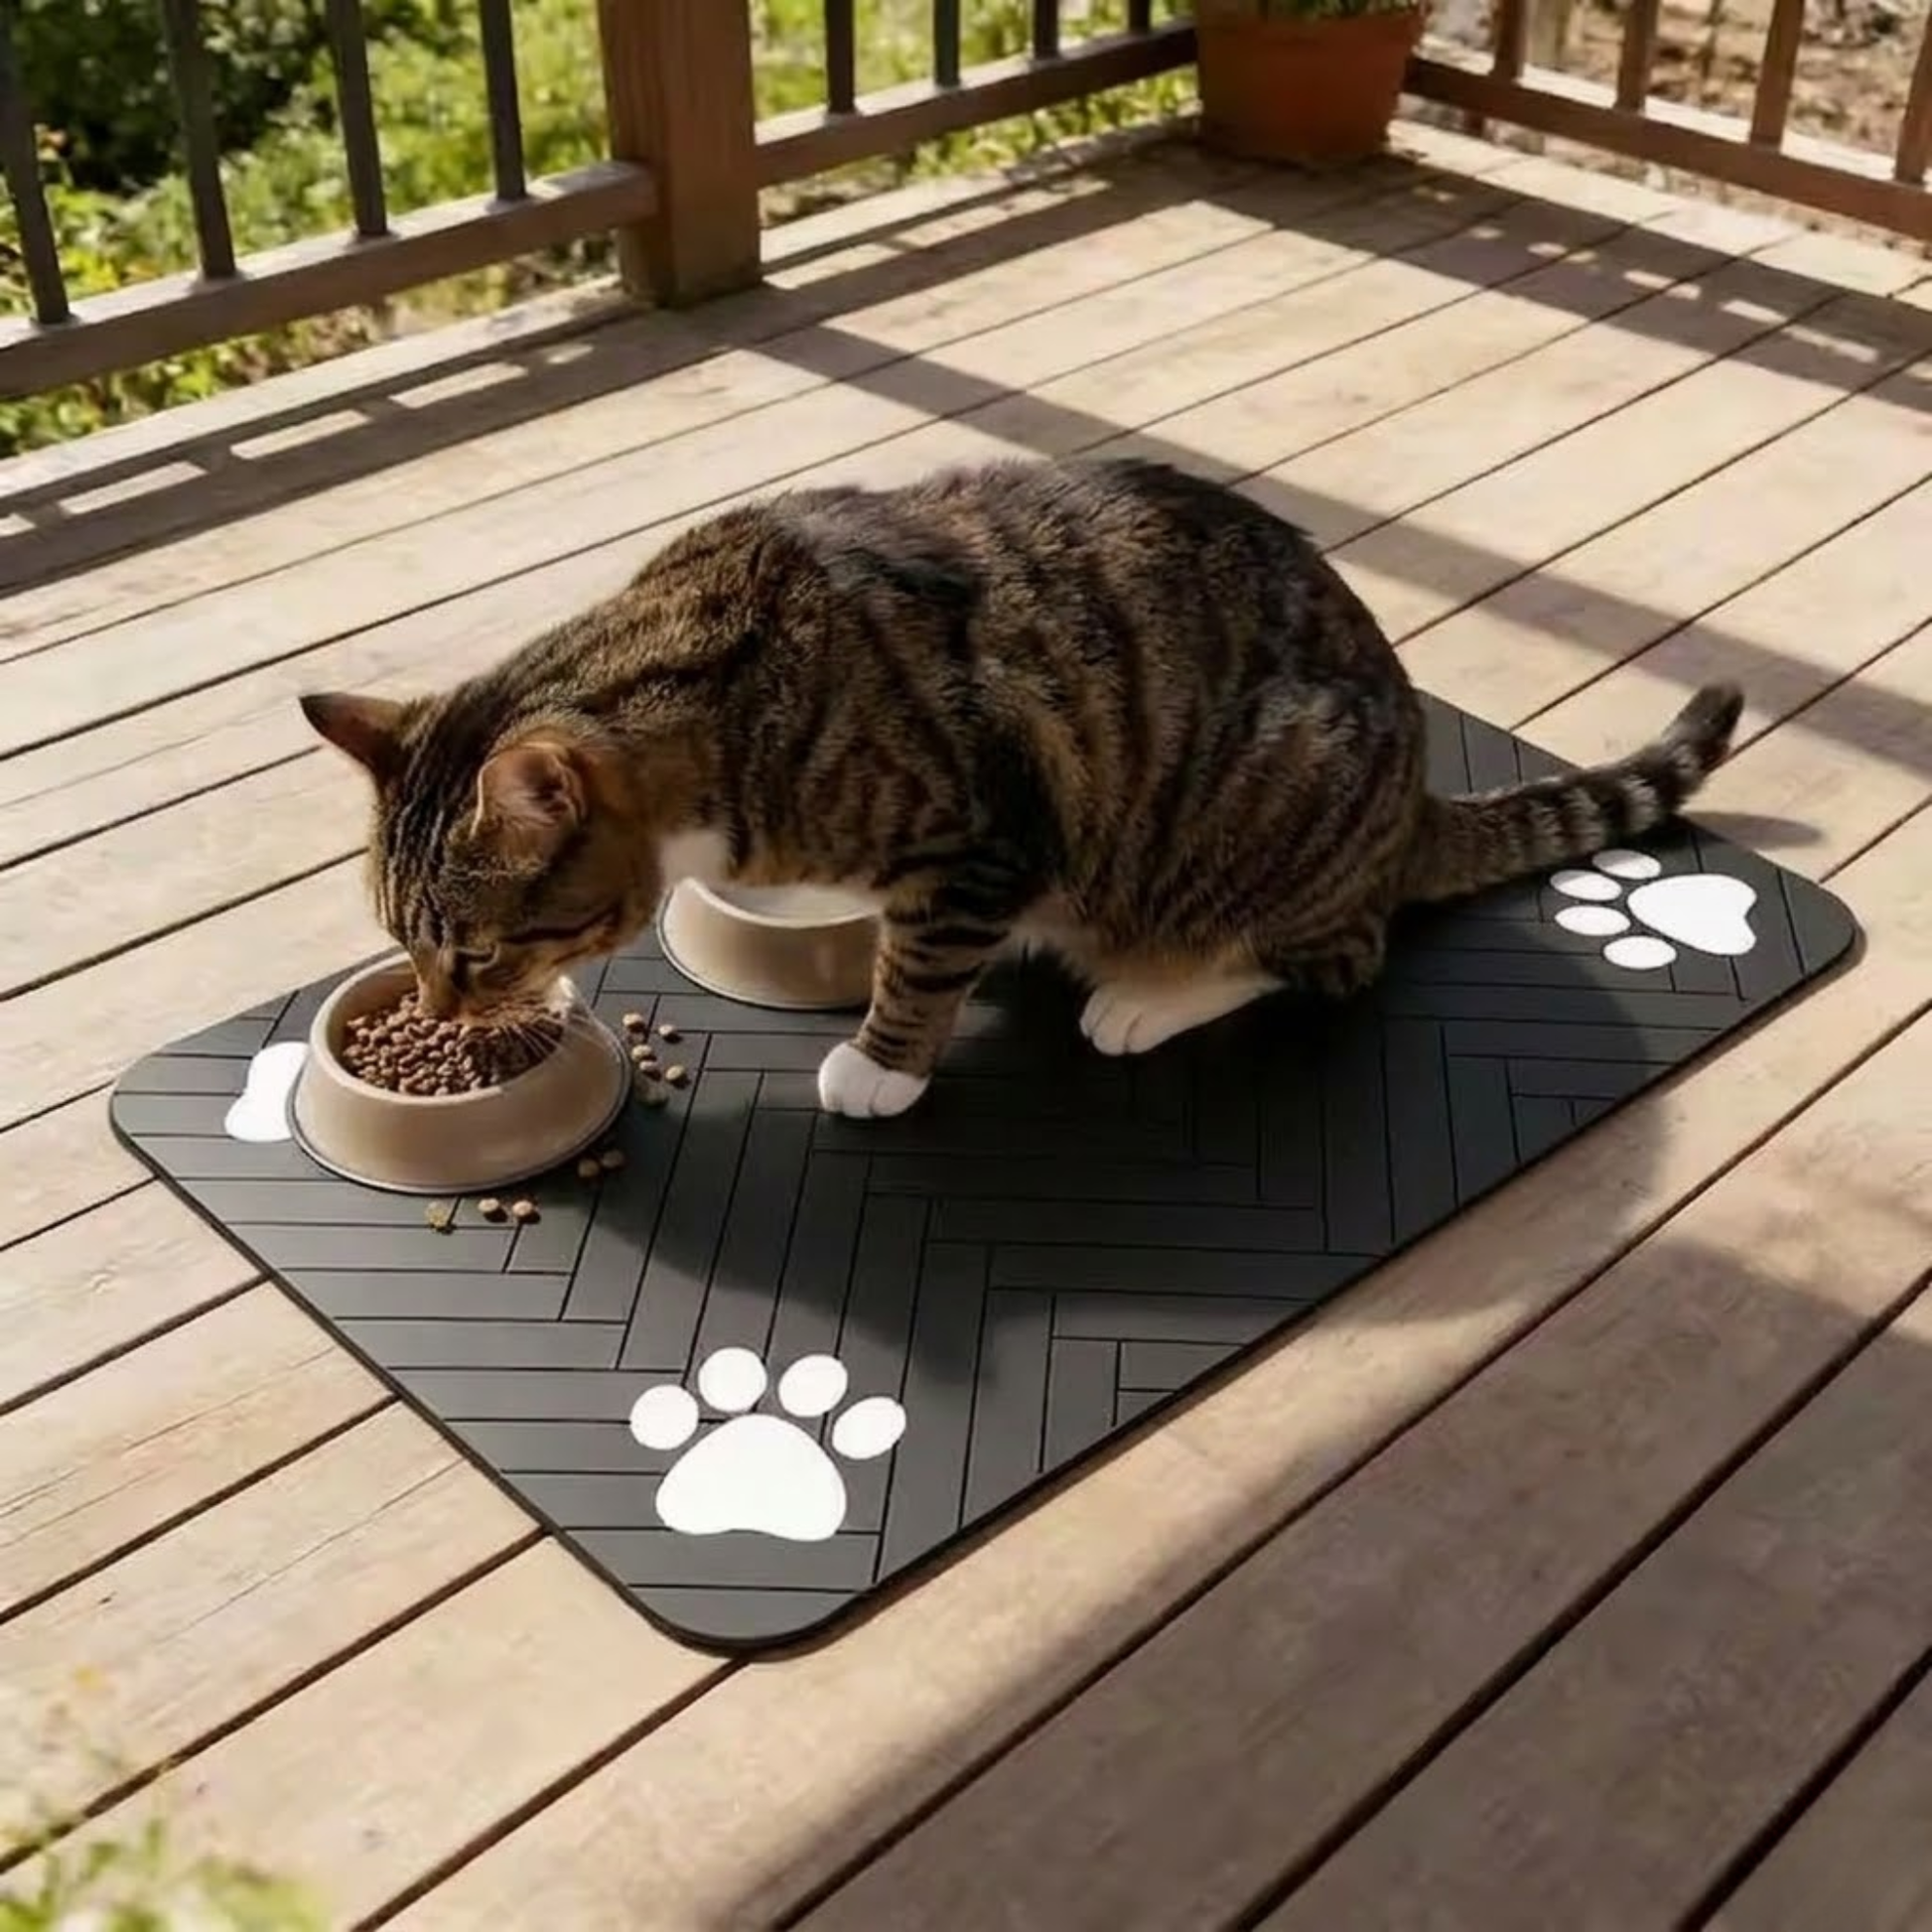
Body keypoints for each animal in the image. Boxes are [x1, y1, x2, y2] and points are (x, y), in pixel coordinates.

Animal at [301, 457, 1742, 1118]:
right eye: (404, 947)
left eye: (476, 953)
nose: (439, 1008)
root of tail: (1411, 804)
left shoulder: (980, 837)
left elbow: (916, 969)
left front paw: (880, 1067)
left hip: (1270, 795)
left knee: (1334, 957)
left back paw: (1149, 994)